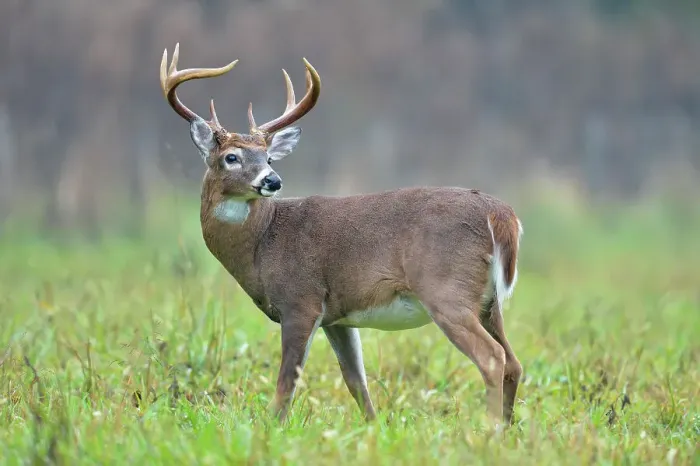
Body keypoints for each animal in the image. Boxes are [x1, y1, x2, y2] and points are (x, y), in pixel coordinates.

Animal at [159, 43, 524, 426]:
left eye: (269, 158)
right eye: (231, 157)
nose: (272, 180)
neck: (263, 245)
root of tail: (501, 215)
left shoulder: (300, 299)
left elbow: (287, 383)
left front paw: (272, 428)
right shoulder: (337, 315)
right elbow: (355, 381)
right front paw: (373, 427)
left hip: (446, 289)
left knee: (492, 357)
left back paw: (489, 429)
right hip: (488, 301)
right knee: (513, 363)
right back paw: (507, 427)